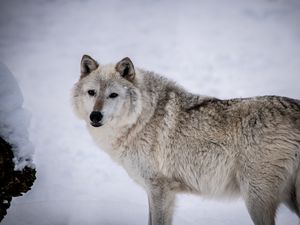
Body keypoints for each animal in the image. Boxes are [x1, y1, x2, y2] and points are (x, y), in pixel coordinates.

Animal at [71, 55, 300, 225]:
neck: (142, 119)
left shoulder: (159, 189)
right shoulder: (157, 191)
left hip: (255, 199)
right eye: (92, 92)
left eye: (113, 95)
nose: (95, 116)